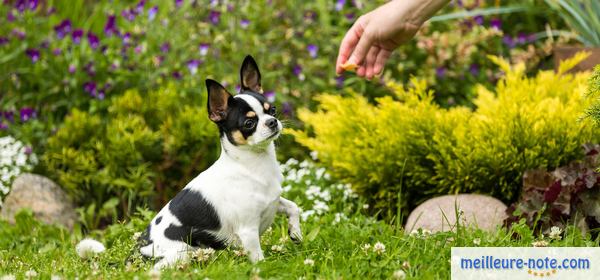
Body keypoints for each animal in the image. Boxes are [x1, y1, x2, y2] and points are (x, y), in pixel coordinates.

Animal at [131, 55, 304, 270]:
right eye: (249, 123)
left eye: (272, 110)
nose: (272, 121)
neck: (253, 164)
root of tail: (141, 250)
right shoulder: (248, 230)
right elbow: (258, 258)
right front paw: (263, 269)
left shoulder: (273, 202)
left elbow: (293, 206)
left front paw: (295, 233)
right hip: (179, 253)